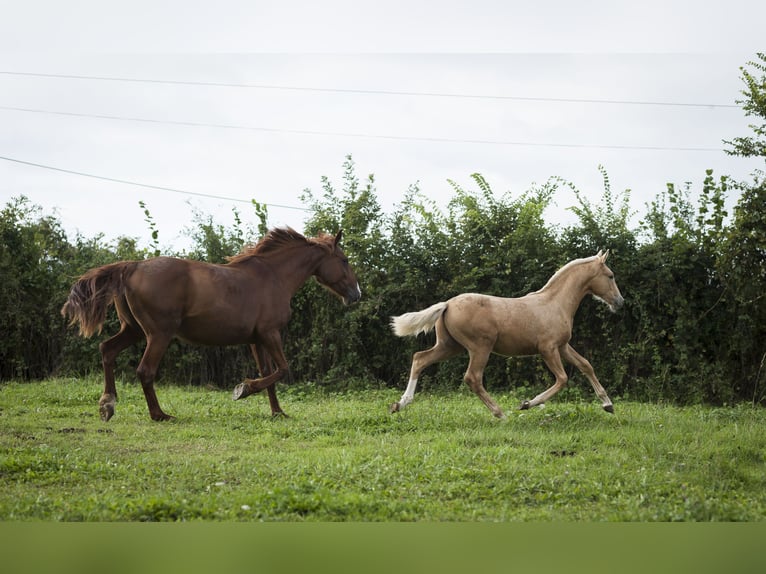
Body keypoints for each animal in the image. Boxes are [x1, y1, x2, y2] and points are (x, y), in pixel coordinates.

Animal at [61, 228, 362, 424]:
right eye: (345, 260)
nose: (356, 294)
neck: (273, 277)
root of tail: (132, 266)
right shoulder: (270, 333)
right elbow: (282, 370)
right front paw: (243, 390)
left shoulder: (256, 339)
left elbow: (270, 375)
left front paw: (277, 413)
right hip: (158, 334)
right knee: (144, 371)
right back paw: (160, 415)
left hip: (133, 330)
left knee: (107, 350)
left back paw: (107, 405)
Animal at [390, 251, 624, 418]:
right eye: (610, 275)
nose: (620, 302)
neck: (554, 303)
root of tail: (447, 304)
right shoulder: (547, 349)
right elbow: (562, 379)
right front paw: (527, 403)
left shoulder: (563, 346)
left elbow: (586, 365)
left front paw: (608, 404)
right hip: (480, 347)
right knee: (472, 377)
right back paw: (500, 413)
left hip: (449, 346)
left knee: (419, 359)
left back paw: (400, 404)